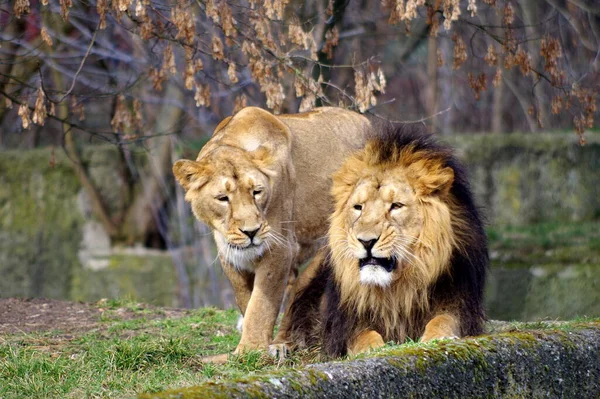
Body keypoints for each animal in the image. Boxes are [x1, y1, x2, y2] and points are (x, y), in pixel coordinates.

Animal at [171, 107, 370, 360]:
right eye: (223, 198)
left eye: (257, 192)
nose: (251, 231)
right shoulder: (229, 253)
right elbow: (246, 300)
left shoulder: (279, 248)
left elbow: (261, 304)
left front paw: (251, 350)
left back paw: (282, 345)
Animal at [280, 123, 488, 358]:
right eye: (358, 207)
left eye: (396, 206)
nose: (366, 241)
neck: (396, 289)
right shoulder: (345, 323)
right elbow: (363, 336)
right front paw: (372, 349)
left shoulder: (459, 303)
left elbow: (443, 320)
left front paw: (436, 339)